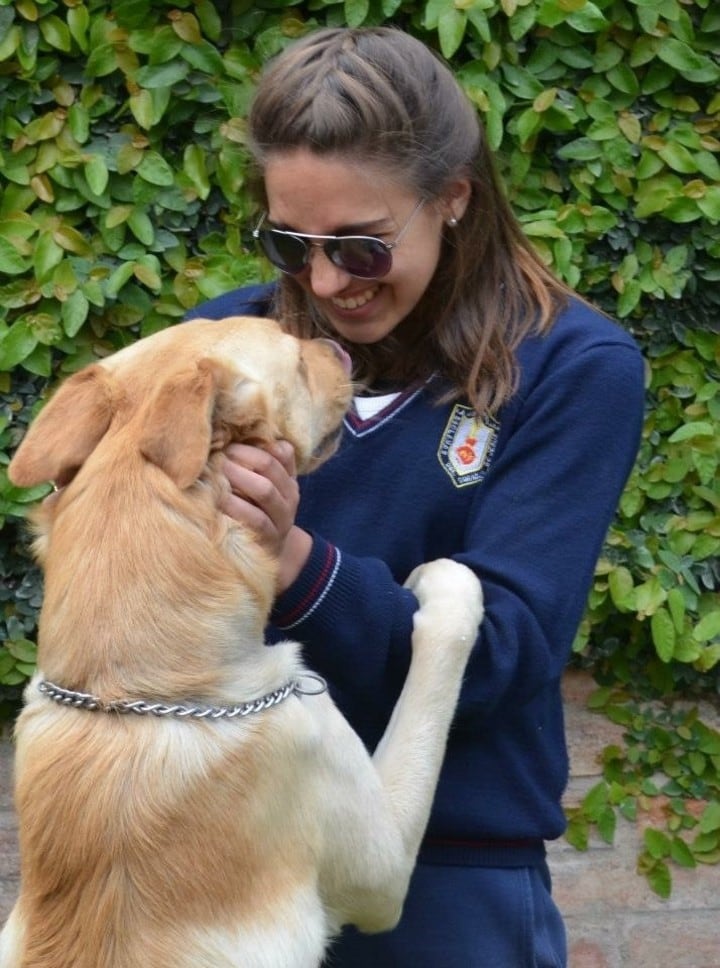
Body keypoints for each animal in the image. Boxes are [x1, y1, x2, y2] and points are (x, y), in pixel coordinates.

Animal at [1, 318, 484, 968]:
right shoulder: (383, 863)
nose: (336, 347)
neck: (129, 691)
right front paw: (449, 582)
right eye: (297, 361)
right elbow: (437, 665)